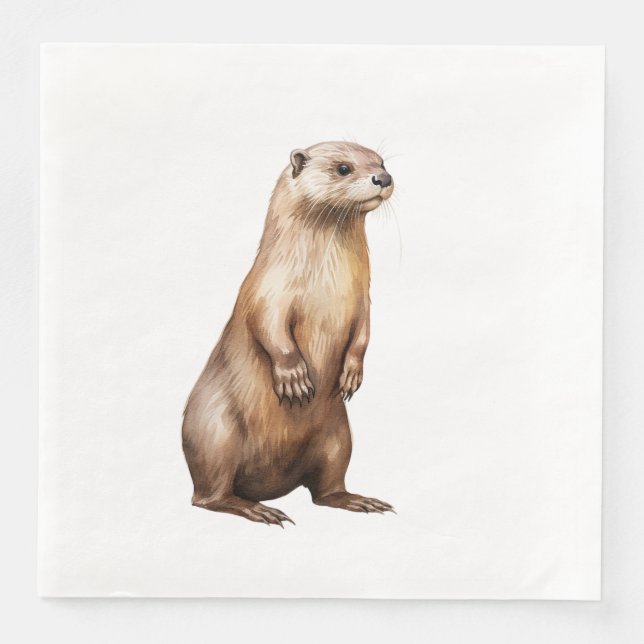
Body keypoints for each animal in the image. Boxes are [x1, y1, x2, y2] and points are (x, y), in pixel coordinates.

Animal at [182, 141, 395, 526]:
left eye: (382, 161)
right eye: (343, 168)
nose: (383, 178)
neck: (326, 281)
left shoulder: (364, 301)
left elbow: (363, 335)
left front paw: (352, 373)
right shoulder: (267, 292)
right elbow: (270, 329)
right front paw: (294, 378)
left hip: (338, 438)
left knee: (325, 491)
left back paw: (358, 500)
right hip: (214, 432)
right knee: (207, 496)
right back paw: (255, 509)